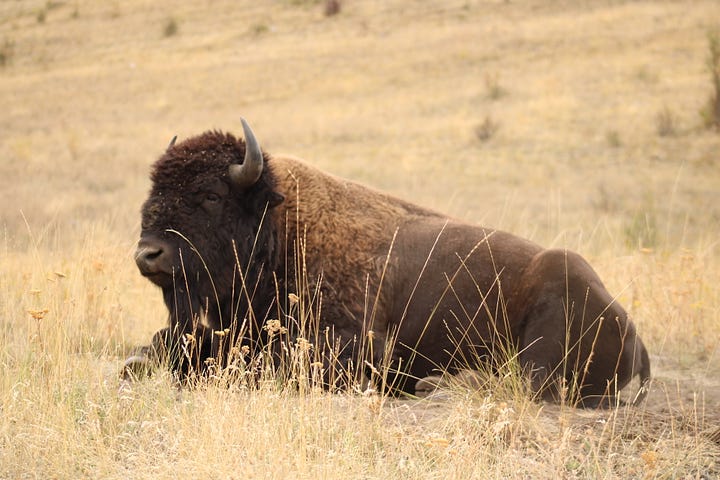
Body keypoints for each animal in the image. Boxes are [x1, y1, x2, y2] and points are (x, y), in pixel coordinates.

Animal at [128, 118, 652, 406]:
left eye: (211, 195)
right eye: (154, 188)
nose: (148, 253)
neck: (279, 228)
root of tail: (631, 329)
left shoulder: (357, 343)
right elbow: (164, 348)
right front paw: (140, 361)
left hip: (552, 313)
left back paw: (439, 384)